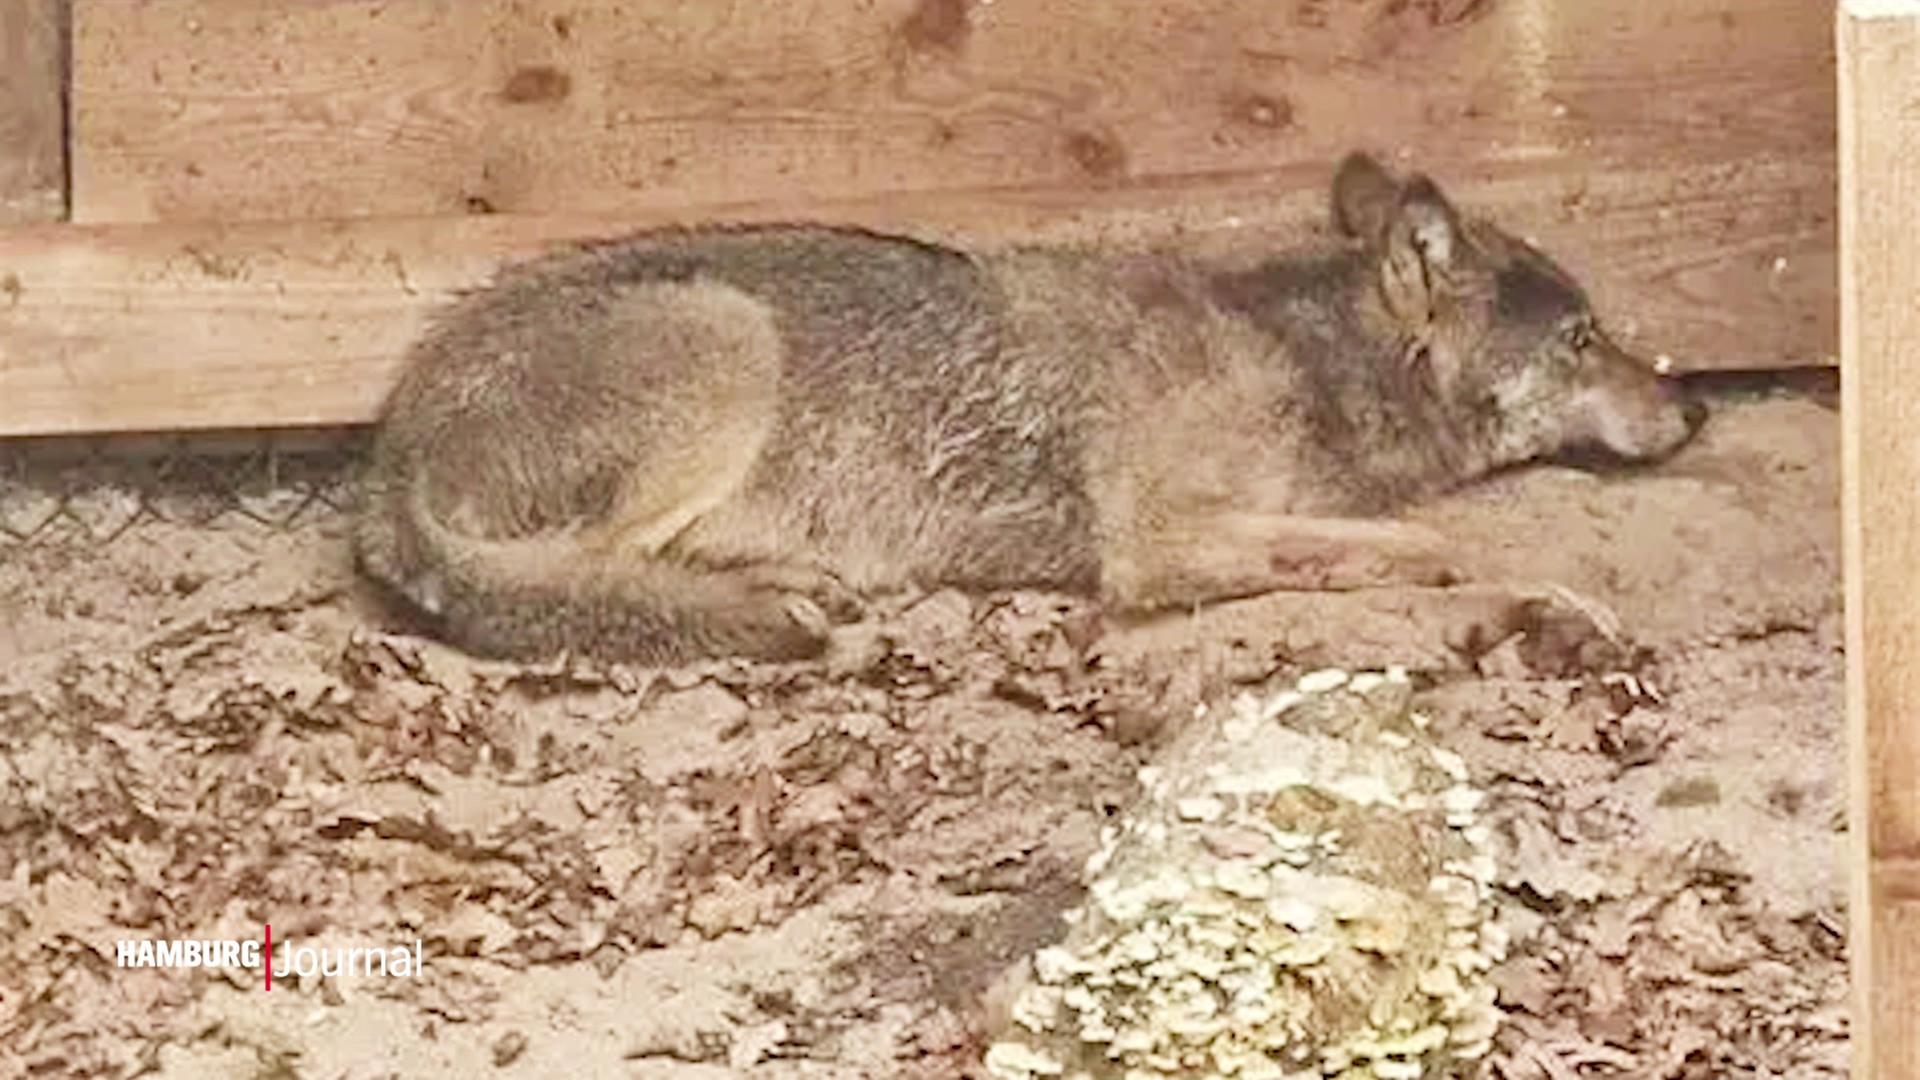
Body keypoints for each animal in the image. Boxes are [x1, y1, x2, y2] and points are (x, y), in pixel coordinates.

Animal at [354, 153, 1704, 662]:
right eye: (1586, 339)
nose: (1694, 410)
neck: (1296, 359)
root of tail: (387, 451)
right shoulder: (1157, 550)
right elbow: (1424, 546)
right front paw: (1528, 601)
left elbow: (1410, 540)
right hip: (728, 341)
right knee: (568, 579)